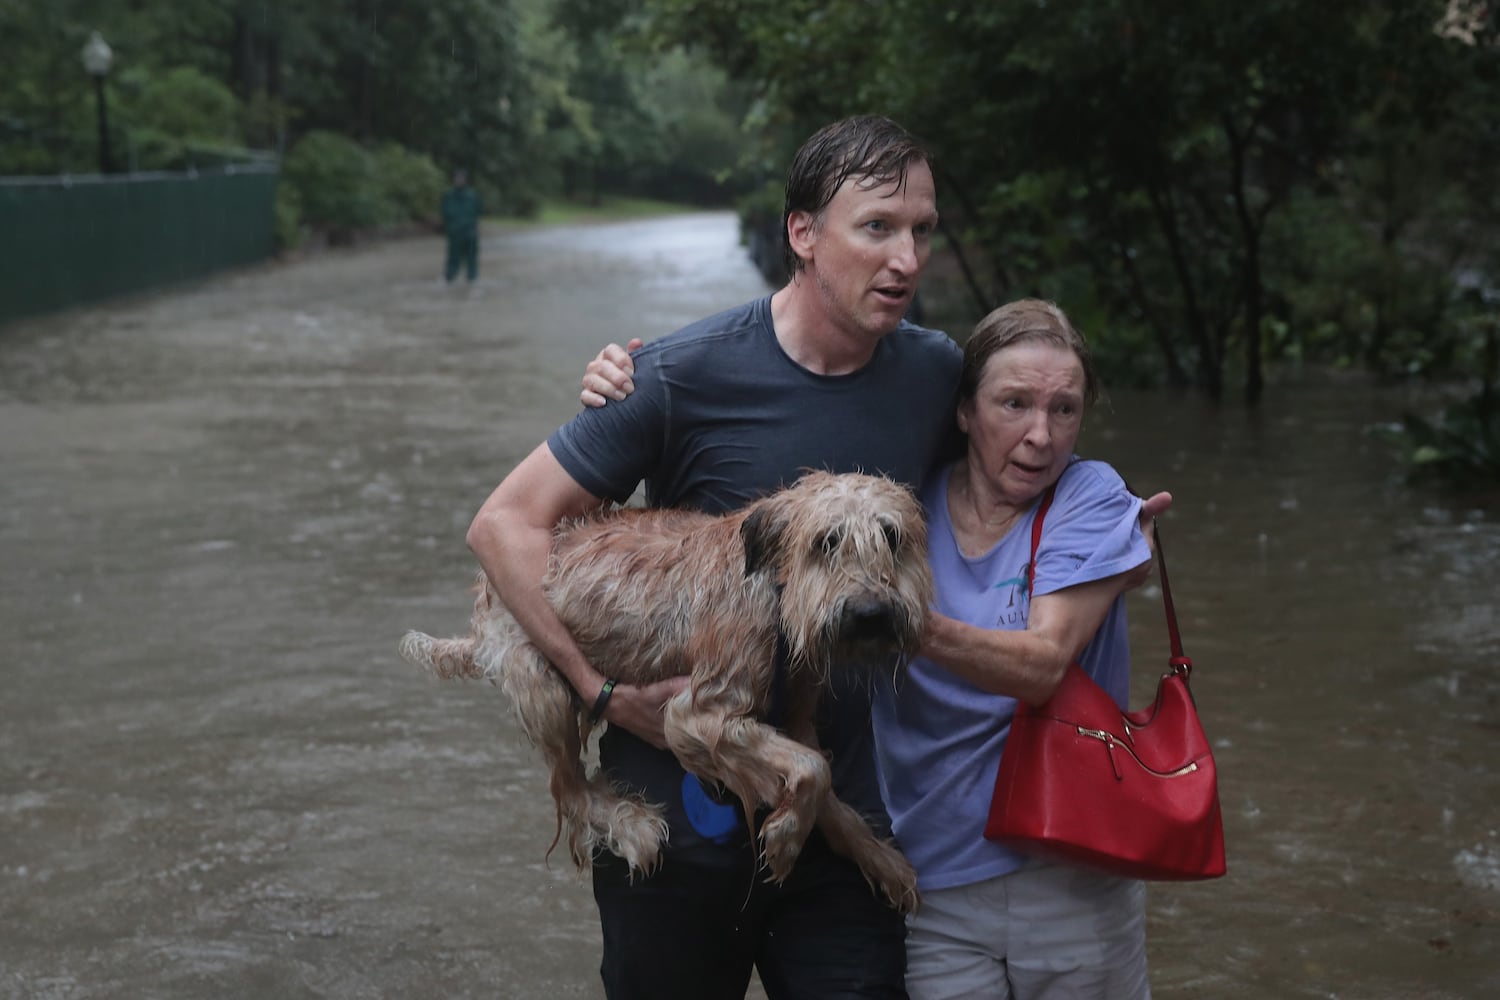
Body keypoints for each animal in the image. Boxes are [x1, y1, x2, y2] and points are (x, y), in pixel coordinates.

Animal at [405, 470, 930, 905]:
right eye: (827, 542)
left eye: (891, 537)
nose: (870, 613)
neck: (775, 592)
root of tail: (481, 609)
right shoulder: (695, 714)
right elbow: (813, 769)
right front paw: (786, 837)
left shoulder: (796, 716)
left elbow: (824, 782)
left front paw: (880, 859)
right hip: (543, 685)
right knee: (569, 788)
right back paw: (632, 825)